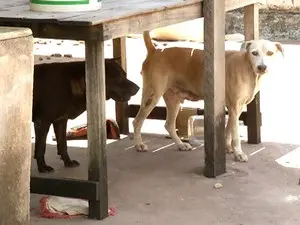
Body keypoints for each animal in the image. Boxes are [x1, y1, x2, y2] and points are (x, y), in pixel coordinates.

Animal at [132, 31, 282, 162]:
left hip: (173, 100)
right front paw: (239, 153)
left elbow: (228, 129)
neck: (247, 66)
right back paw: (139, 145)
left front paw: (227, 147)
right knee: (137, 121)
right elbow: (235, 134)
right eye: (254, 53)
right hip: (152, 96)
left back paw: (181, 144)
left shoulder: (236, 109)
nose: (262, 67)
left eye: (270, 53)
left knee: (169, 124)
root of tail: (154, 50)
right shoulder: (234, 107)